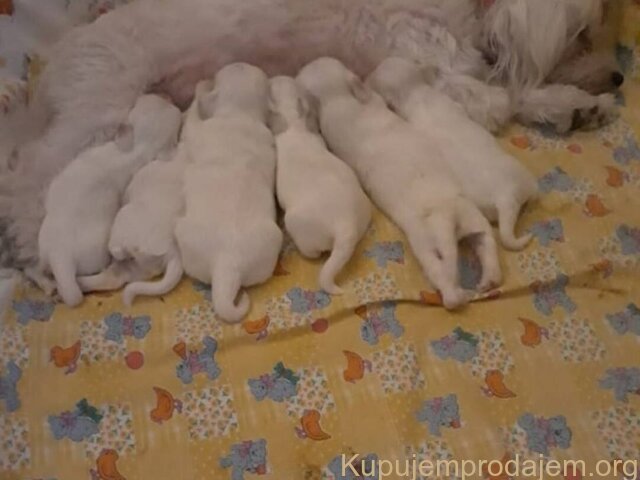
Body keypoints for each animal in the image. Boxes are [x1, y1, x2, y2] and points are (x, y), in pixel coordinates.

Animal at [77, 150, 187, 305]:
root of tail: (173, 251)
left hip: (124, 217)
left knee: (118, 253)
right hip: (139, 268)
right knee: (112, 278)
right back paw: (80, 283)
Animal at [175, 63, 282, 323]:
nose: (238, 62)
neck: (239, 114)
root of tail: (227, 263)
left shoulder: (201, 129)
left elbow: (192, 121)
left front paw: (199, 88)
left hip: (185, 237)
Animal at [269, 76, 371, 294]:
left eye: (271, 87)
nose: (275, 77)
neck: (295, 124)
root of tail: (345, 225)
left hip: (298, 227)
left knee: (312, 252)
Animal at [298, 58, 501, 309]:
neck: (339, 97)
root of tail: (448, 217)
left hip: (426, 243)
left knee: (440, 272)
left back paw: (454, 296)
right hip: (473, 220)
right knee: (486, 244)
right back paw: (489, 279)